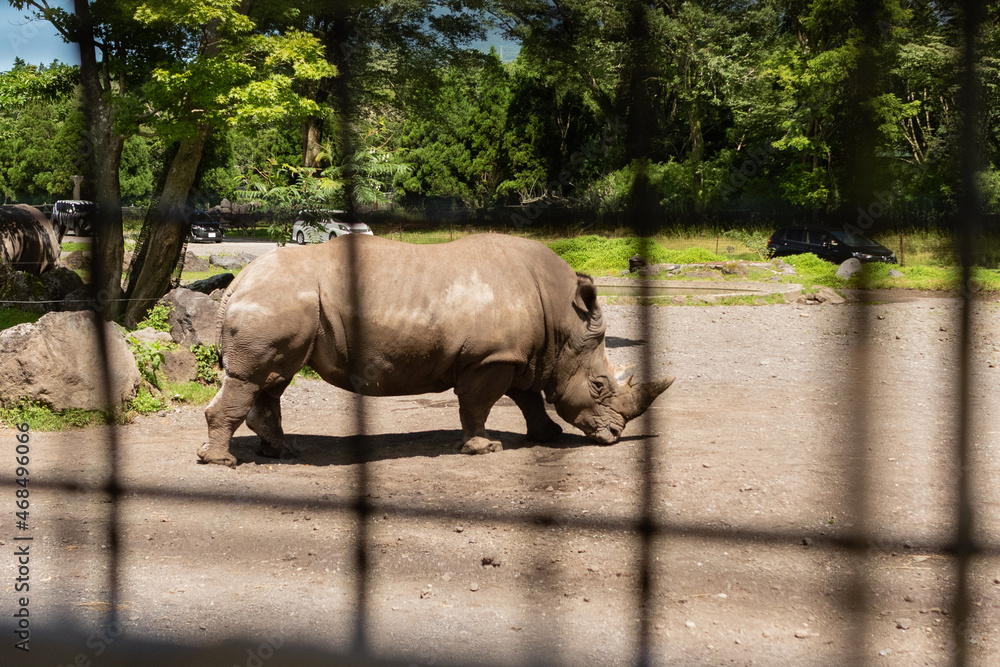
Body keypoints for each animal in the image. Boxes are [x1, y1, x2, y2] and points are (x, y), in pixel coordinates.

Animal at [198, 233, 674, 467]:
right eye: (599, 386)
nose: (614, 436)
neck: (563, 324)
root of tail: (238, 282)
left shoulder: (520, 355)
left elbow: (529, 398)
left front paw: (548, 435)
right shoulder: (492, 357)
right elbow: (479, 404)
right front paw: (484, 449)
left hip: (282, 301)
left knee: (272, 379)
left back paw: (282, 453)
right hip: (277, 299)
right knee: (254, 378)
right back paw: (224, 462)